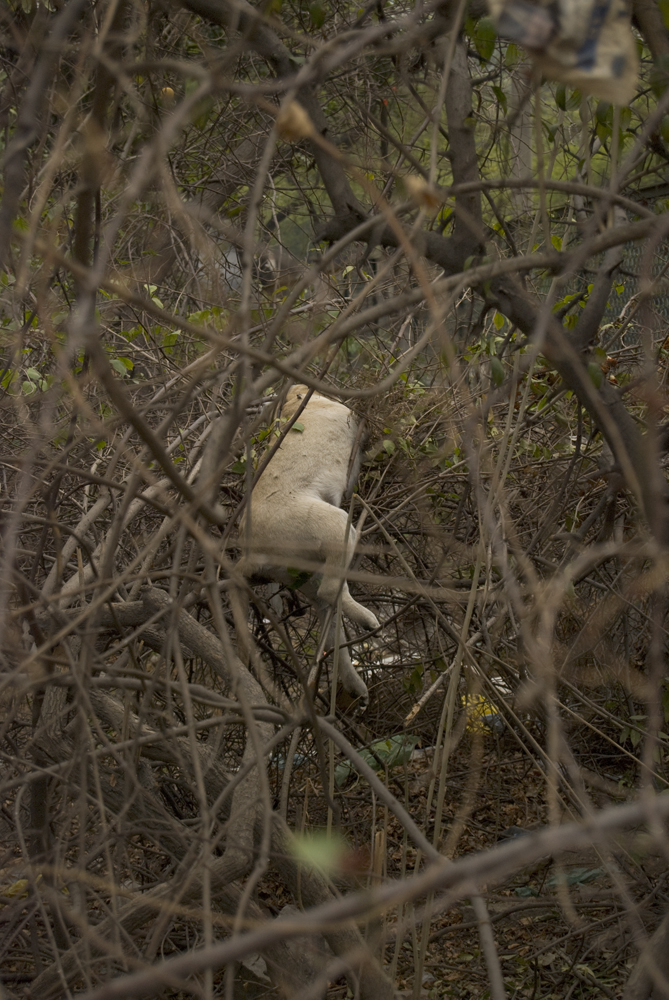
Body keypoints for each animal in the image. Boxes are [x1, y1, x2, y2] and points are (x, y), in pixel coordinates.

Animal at [237, 386, 378, 708]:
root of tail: (251, 554)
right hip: (337, 527)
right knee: (331, 592)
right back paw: (368, 621)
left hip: (306, 575)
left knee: (332, 620)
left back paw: (355, 684)